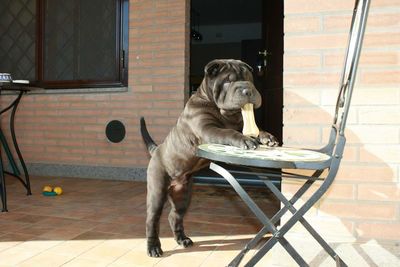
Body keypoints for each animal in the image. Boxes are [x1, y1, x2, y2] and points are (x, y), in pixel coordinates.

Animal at [139, 58, 276, 258]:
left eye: (249, 80)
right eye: (228, 81)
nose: (248, 90)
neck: (227, 114)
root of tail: (156, 150)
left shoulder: (240, 124)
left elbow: (254, 130)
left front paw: (267, 137)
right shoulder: (207, 128)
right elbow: (227, 132)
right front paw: (245, 140)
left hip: (183, 195)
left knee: (174, 215)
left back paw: (183, 239)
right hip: (157, 189)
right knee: (152, 219)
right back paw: (153, 248)